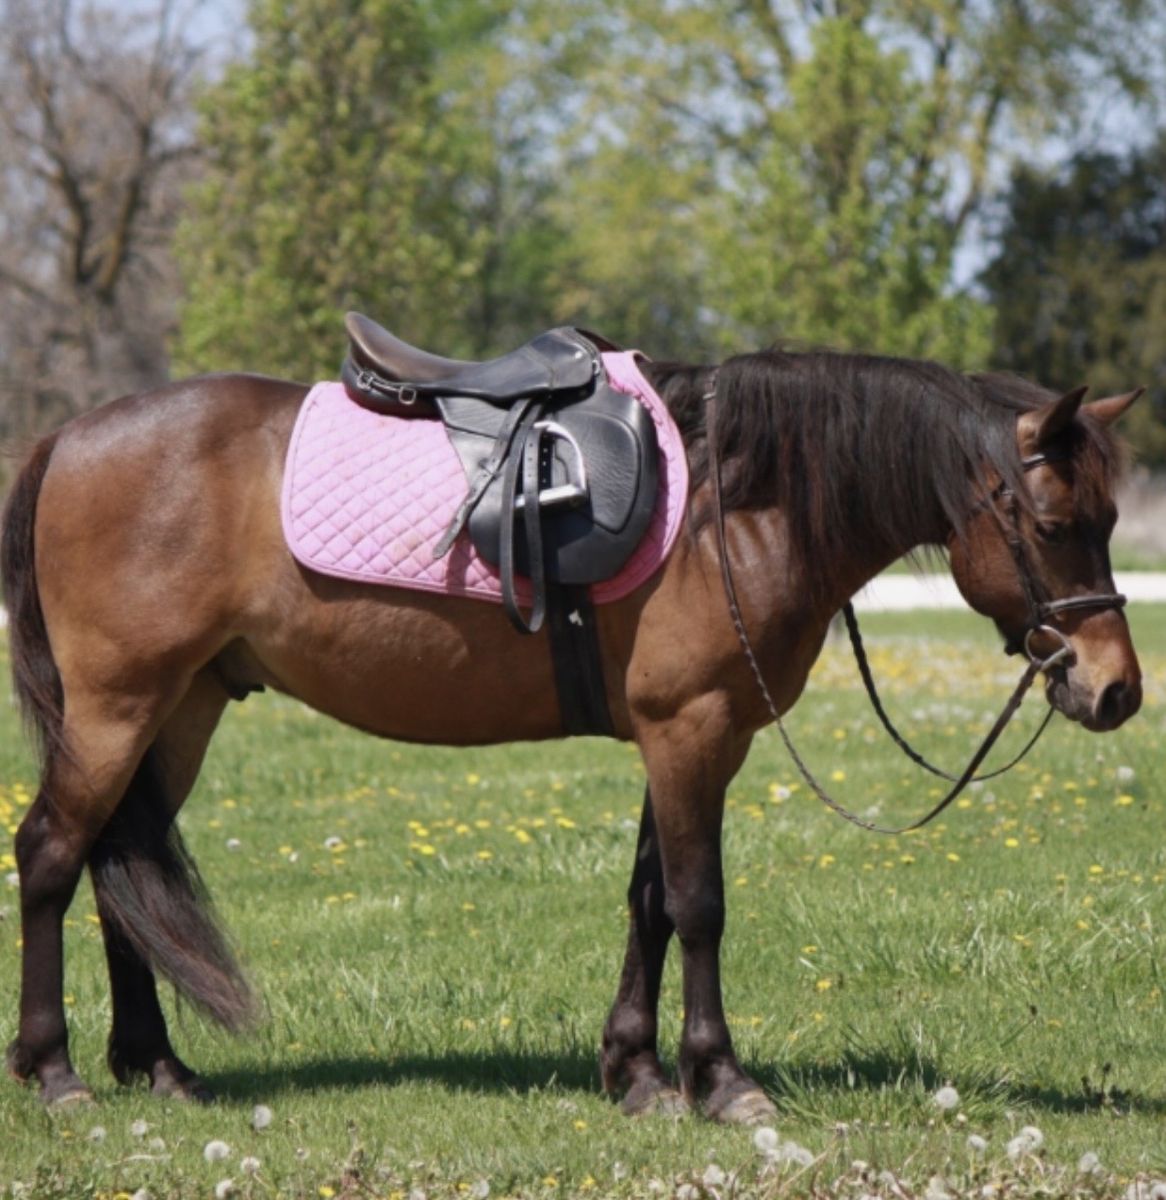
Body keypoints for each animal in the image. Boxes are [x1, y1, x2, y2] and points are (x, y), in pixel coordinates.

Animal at [0, 340, 1143, 1122]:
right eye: (1053, 527)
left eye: (1109, 522)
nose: (1116, 691)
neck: (733, 509)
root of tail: (67, 438)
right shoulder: (692, 730)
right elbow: (698, 904)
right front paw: (720, 1080)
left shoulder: (687, 737)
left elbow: (647, 901)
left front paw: (634, 1070)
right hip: (117, 707)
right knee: (53, 854)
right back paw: (54, 1070)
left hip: (179, 707)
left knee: (120, 862)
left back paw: (156, 1064)